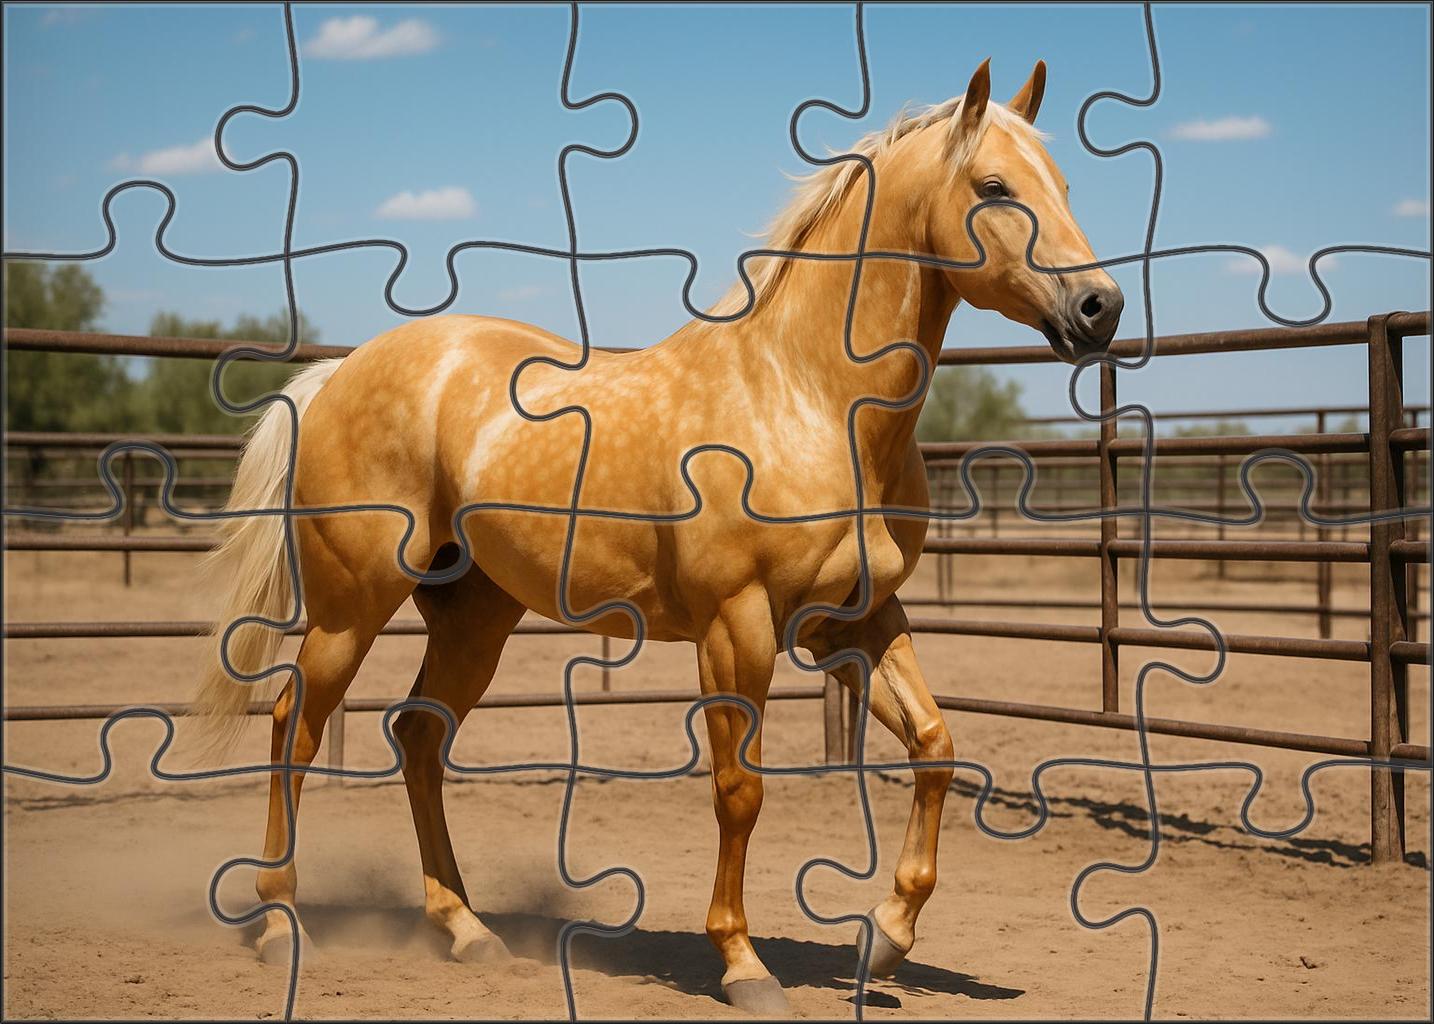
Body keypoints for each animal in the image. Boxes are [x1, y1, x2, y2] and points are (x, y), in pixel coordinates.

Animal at [192, 58, 1122, 1015]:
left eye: (1063, 185)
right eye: (994, 187)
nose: (1101, 307)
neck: (812, 400)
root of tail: (343, 370)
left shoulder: (857, 623)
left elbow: (936, 748)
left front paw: (889, 936)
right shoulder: (737, 629)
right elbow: (740, 793)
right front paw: (744, 965)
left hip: (473, 620)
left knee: (418, 738)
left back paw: (467, 930)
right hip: (351, 612)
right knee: (293, 728)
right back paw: (281, 926)